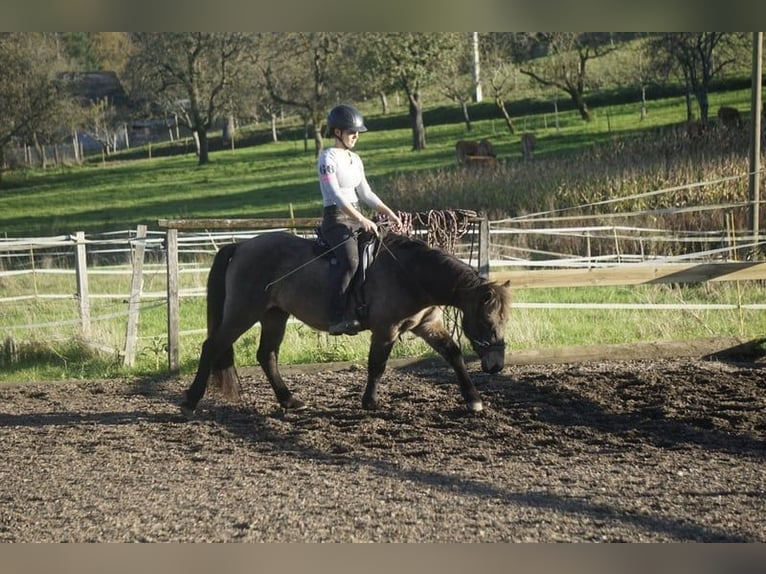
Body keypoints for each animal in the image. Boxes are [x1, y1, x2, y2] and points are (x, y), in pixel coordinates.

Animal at [183, 231, 512, 418]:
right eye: (486, 319)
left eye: (504, 319)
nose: (497, 364)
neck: (410, 274)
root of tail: (240, 246)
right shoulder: (385, 330)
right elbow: (377, 365)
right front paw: (370, 403)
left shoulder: (427, 325)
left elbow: (453, 354)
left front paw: (474, 401)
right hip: (243, 312)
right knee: (212, 346)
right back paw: (191, 400)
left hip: (274, 315)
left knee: (267, 356)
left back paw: (290, 400)